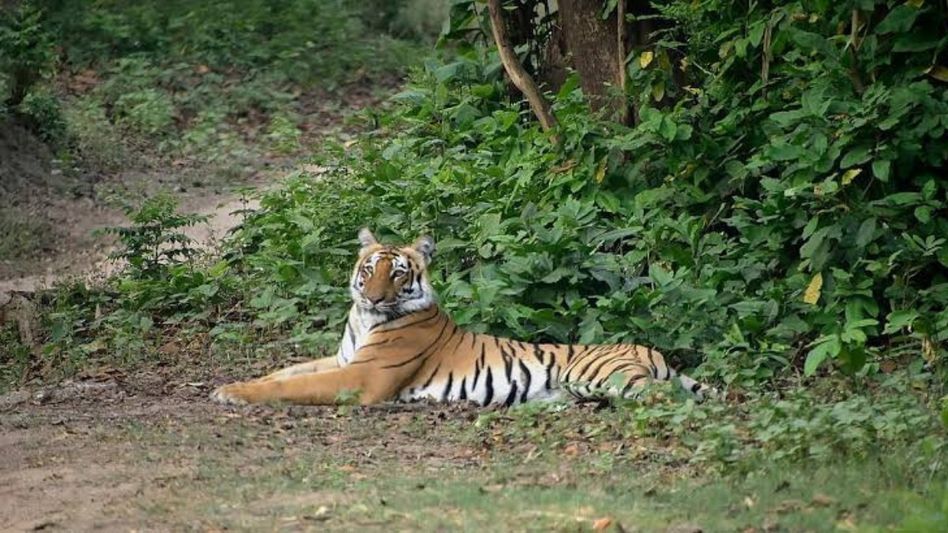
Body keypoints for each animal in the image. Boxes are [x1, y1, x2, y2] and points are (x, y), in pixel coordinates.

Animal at [211, 228, 709, 406]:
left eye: (398, 272)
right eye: (370, 269)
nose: (373, 297)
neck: (364, 319)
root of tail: (652, 351)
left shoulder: (361, 376)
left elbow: (294, 386)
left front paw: (232, 394)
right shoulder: (342, 360)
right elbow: (285, 372)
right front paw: (232, 384)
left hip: (608, 376)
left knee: (666, 398)